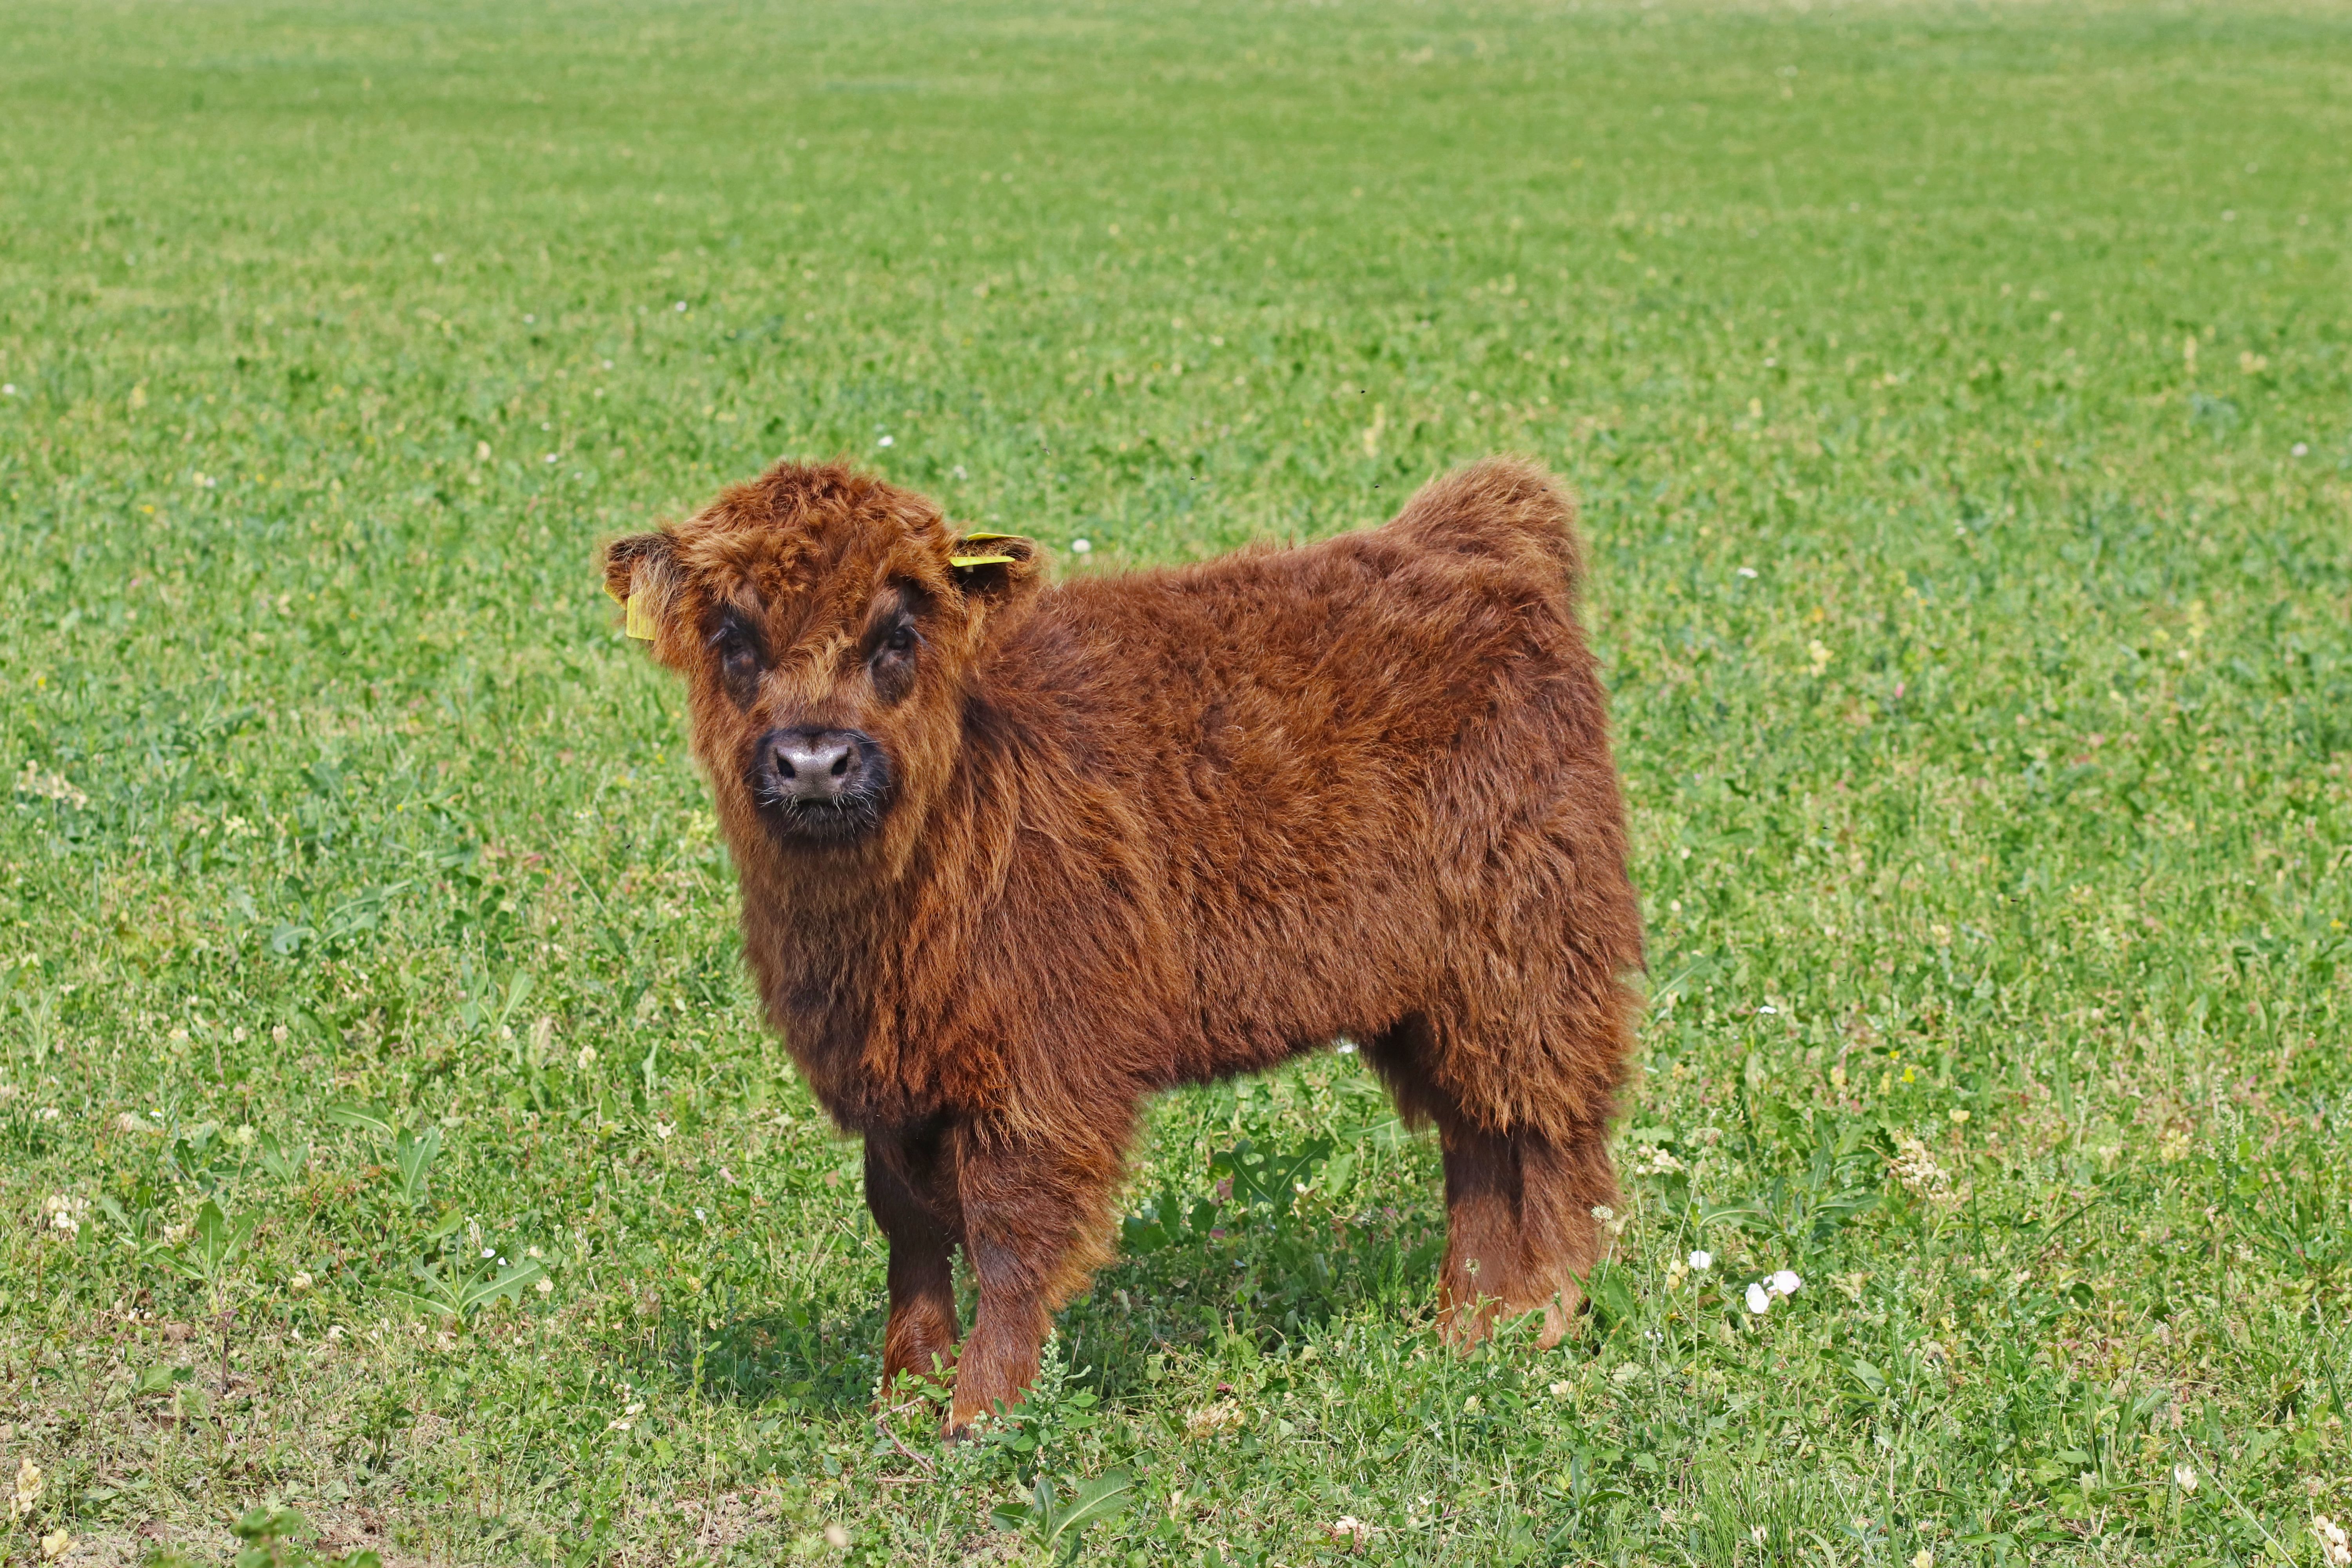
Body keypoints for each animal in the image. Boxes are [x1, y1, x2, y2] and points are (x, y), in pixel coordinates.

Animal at [601, 456, 1642, 1435]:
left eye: (897, 634)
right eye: (733, 637)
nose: (814, 761)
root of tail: (1467, 535)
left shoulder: (1042, 1072)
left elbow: (1007, 1238)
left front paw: (981, 1412)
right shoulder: (893, 1074)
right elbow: (909, 1228)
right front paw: (903, 1394)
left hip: (1532, 949)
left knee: (1553, 1129)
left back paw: (1545, 1316)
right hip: (1431, 988)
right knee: (1479, 1135)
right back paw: (1469, 1323)